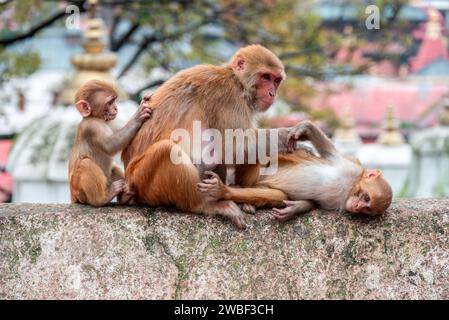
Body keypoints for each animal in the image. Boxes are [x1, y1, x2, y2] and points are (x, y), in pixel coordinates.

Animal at [121, 45, 298, 230]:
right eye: (266, 77)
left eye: (276, 80)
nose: (272, 93)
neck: (238, 81)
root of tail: (128, 180)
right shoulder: (230, 99)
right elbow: (233, 146)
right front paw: (287, 135)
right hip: (143, 182)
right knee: (168, 150)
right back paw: (208, 204)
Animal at [198, 120, 390, 222]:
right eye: (366, 197)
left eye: (367, 209)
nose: (357, 206)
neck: (350, 188)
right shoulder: (351, 166)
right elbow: (328, 152)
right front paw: (305, 128)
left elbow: (313, 202)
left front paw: (295, 208)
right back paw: (226, 190)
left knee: (277, 194)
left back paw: (231, 194)